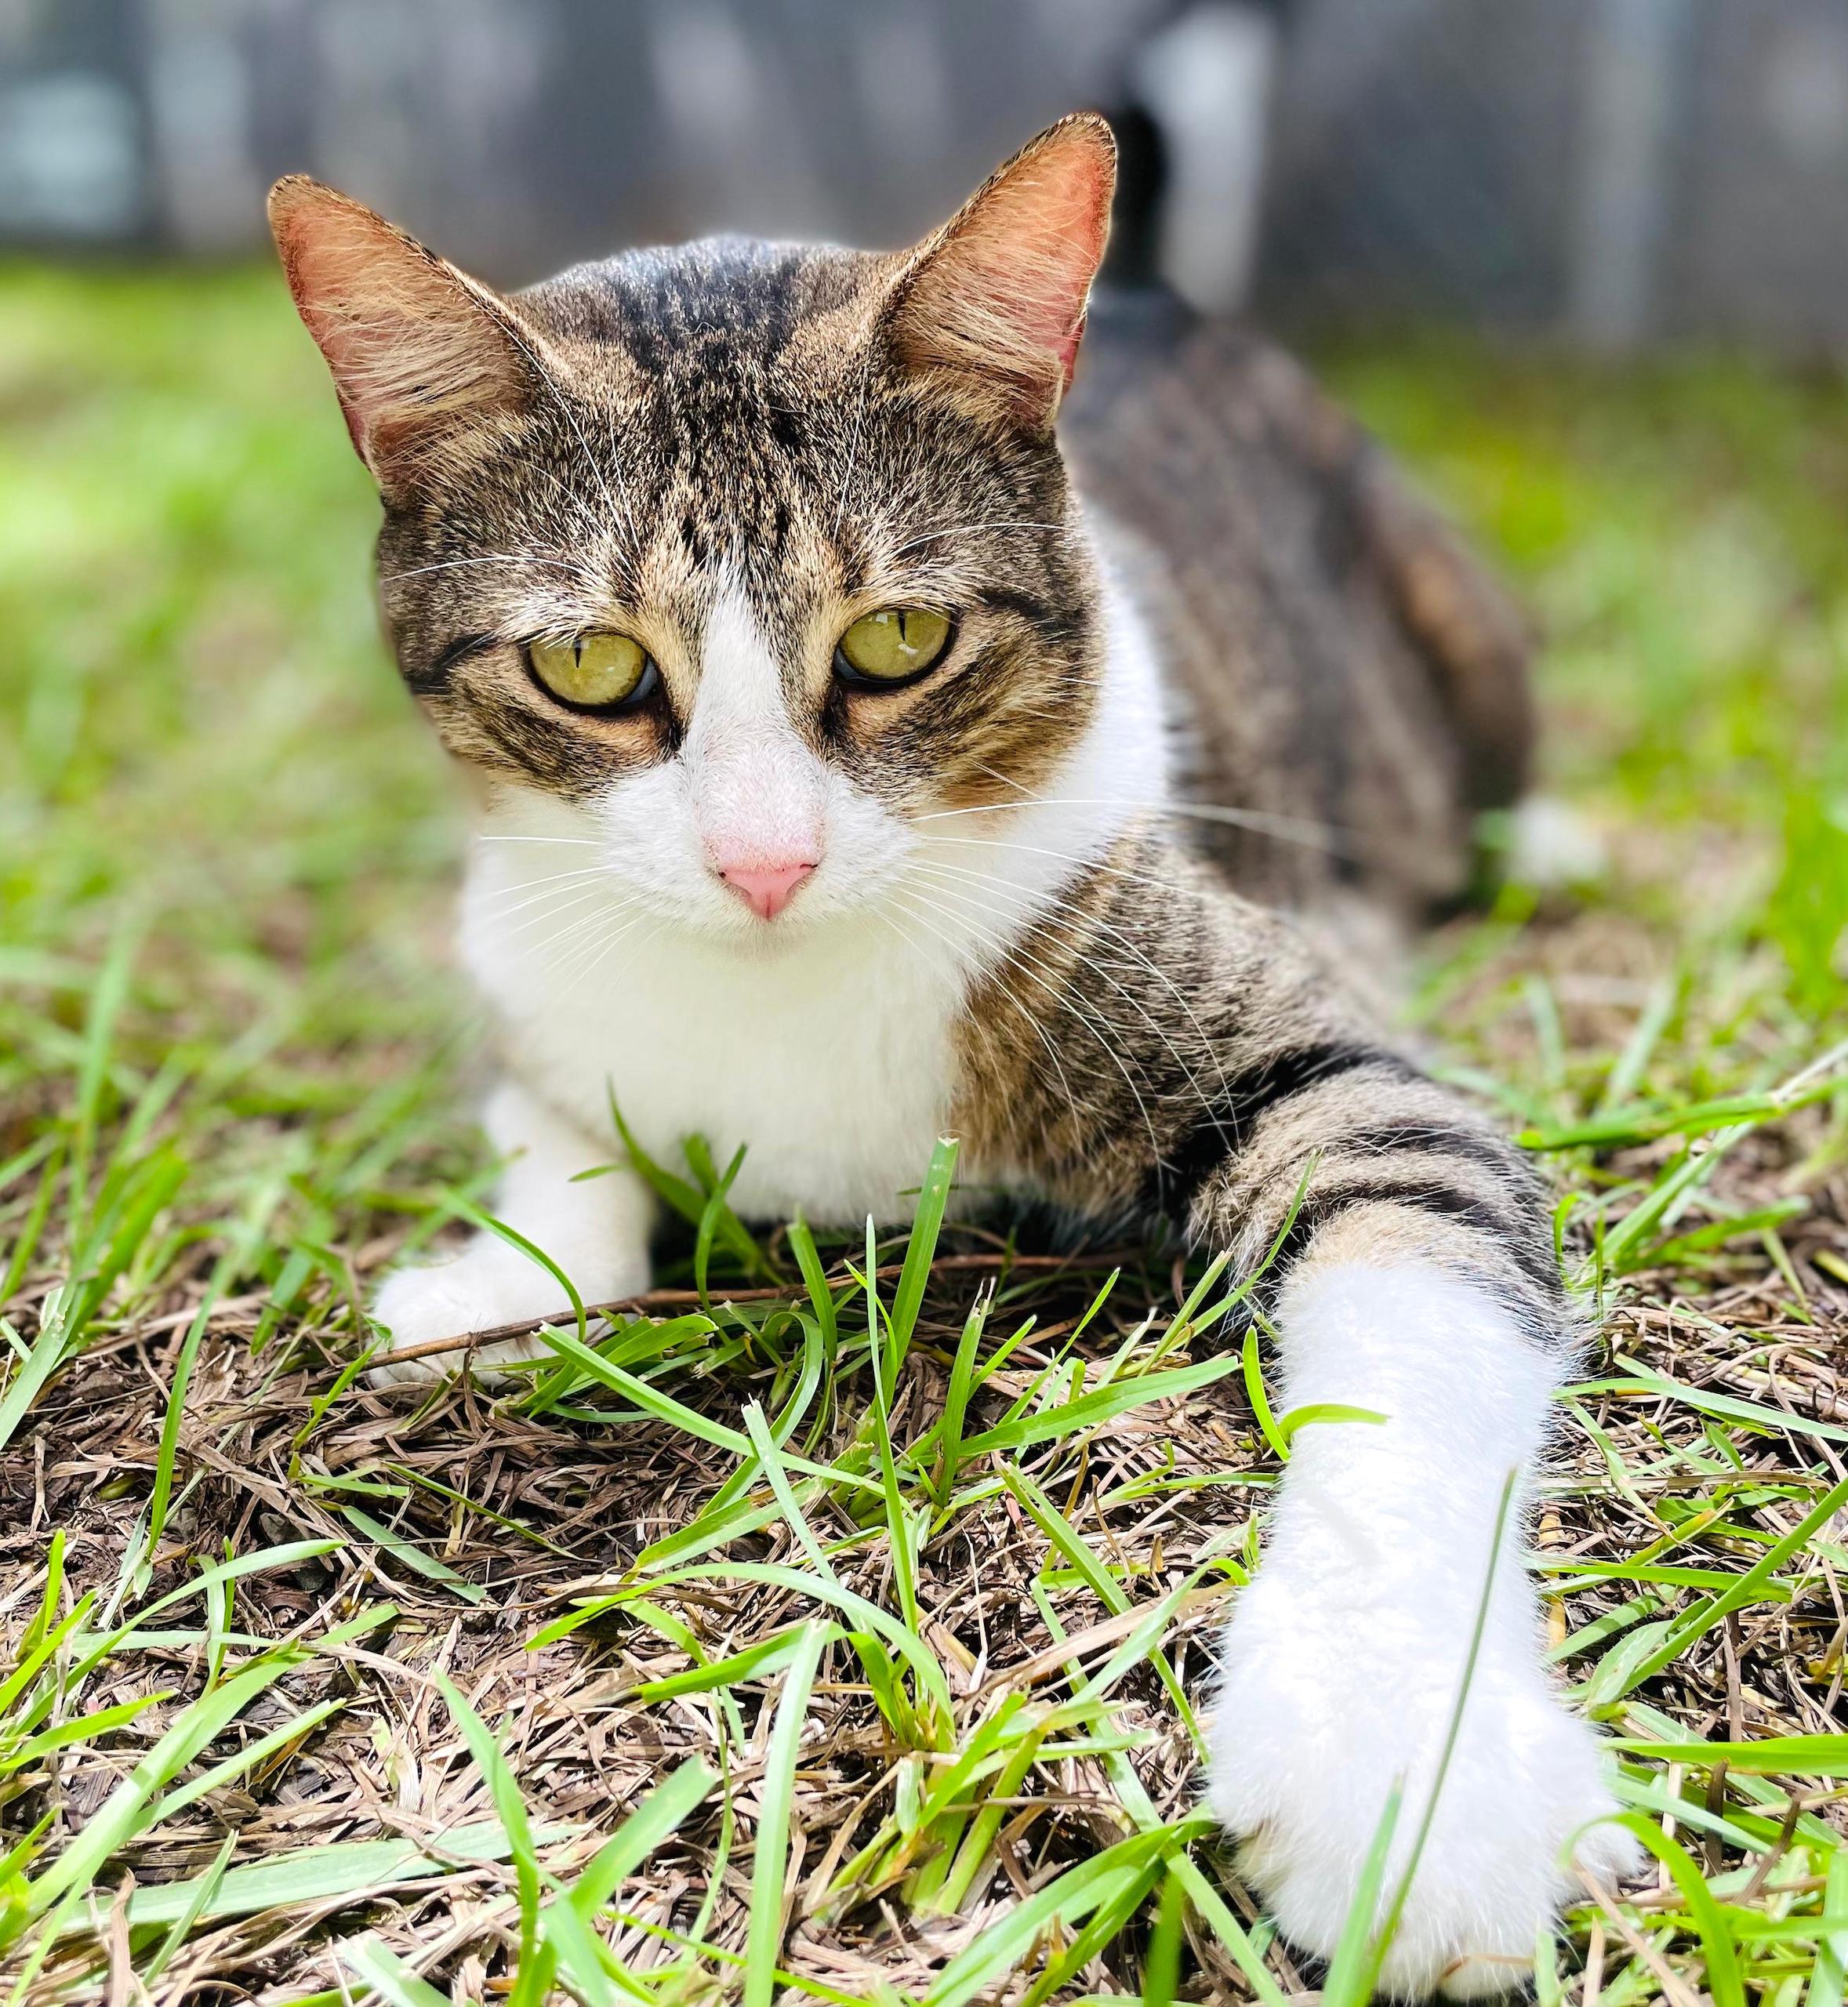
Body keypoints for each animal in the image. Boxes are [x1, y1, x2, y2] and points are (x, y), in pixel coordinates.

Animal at [270, 121, 1629, 1991]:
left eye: (898, 643)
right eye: (588, 663)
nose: (762, 863)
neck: (781, 988)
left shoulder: (1336, 1061)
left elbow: (1408, 1317)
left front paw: (1397, 1757)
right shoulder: (527, 963)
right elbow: (561, 1130)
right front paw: (493, 1277)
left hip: (1435, 623)